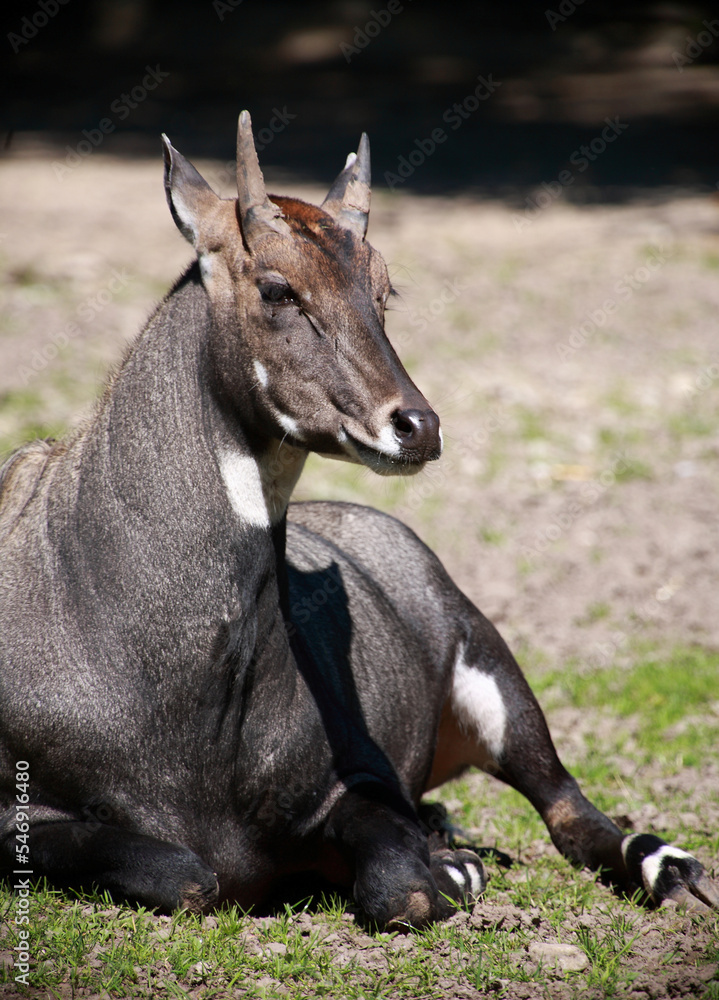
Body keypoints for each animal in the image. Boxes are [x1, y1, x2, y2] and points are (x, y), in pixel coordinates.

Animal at [0, 112, 716, 926]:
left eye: (383, 290)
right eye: (277, 287)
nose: (417, 426)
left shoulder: (361, 782)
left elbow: (399, 886)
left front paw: (452, 869)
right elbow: (181, 872)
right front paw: (449, 857)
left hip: (495, 681)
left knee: (569, 812)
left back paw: (671, 867)